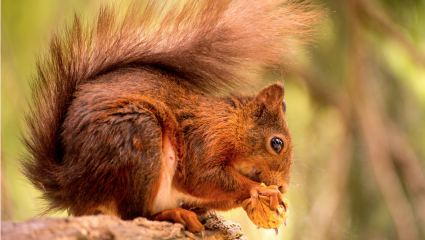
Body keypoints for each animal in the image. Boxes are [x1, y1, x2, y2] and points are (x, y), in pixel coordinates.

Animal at [20, 0, 318, 233]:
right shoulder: (204, 140)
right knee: (134, 214)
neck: (230, 123)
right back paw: (172, 214)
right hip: (139, 140)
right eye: (277, 143)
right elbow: (203, 178)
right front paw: (261, 190)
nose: (283, 187)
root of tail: (69, 184)